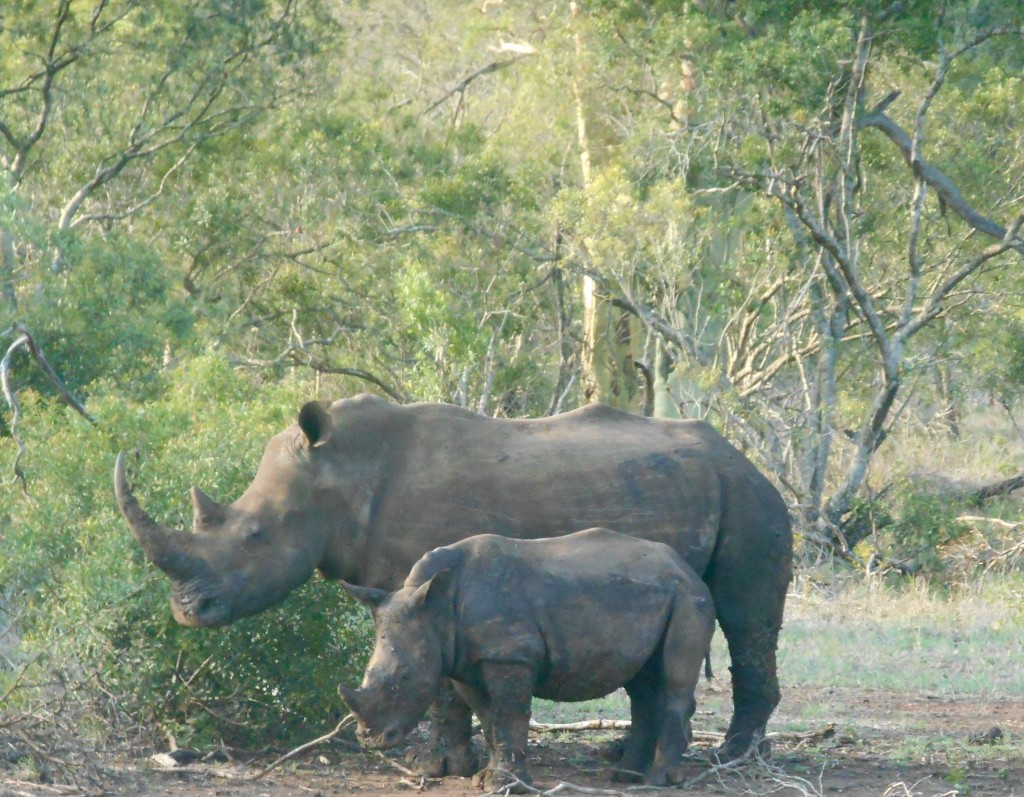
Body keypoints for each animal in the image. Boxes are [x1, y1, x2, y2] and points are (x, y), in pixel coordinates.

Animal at [115, 394, 792, 771]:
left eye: (254, 535)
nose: (186, 610)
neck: (342, 475)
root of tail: (743, 454)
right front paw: (456, 764)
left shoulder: (429, 580)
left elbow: (440, 680)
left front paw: (444, 766)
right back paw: (628, 758)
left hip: (750, 498)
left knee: (746, 618)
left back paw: (733, 757)